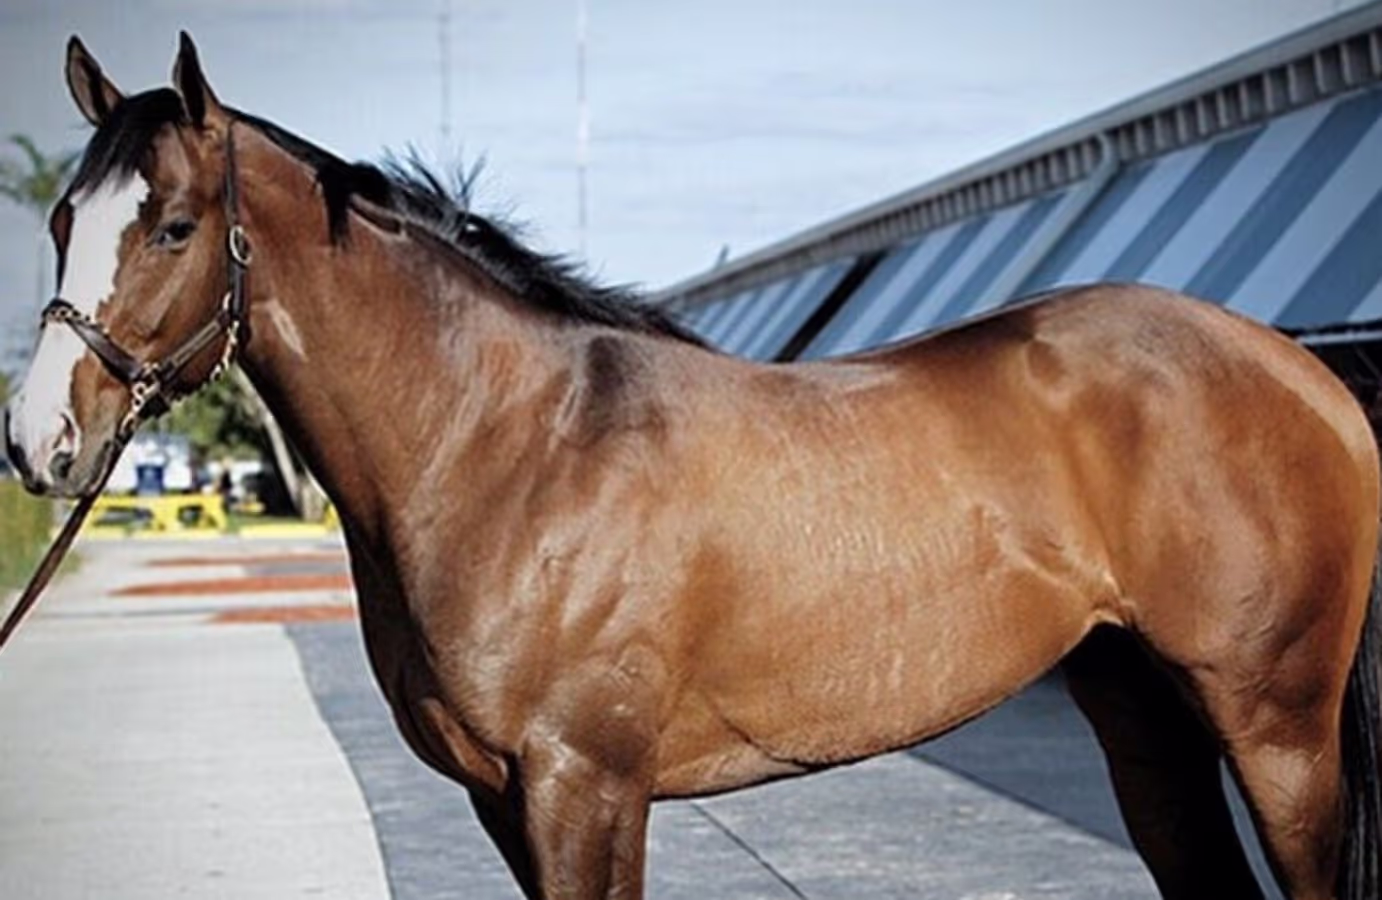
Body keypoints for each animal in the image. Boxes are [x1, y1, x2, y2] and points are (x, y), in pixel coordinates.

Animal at [5, 34, 1380, 900]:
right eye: (63, 218)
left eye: (172, 226)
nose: (37, 441)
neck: (507, 447)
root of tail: (1296, 370)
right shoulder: (507, 799)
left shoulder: (582, 789)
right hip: (1144, 716)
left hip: (1275, 725)